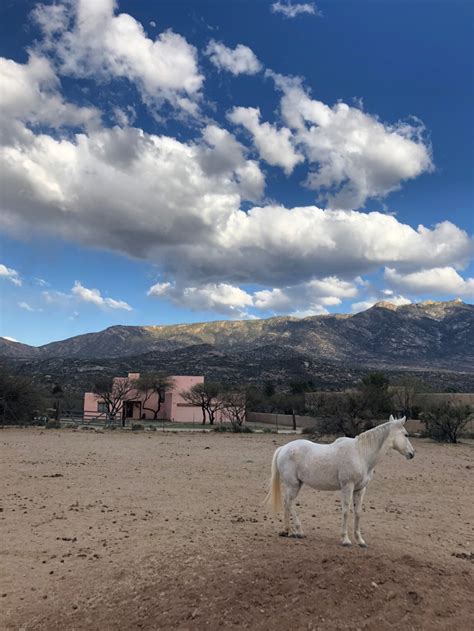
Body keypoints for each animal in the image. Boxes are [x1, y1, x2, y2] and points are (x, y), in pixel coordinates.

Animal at [264, 414, 412, 548]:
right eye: (405, 435)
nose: (412, 453)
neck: (361, 454)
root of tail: (283, 448)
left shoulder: (360, 489)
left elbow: (358, 513)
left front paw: (360, 541)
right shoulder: (347, 487)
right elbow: (345, 511)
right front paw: (345, 539)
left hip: (297, 484)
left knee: (287, 503)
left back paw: (287, 531)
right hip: (293, 485)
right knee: (289, 503)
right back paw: (298, 531)